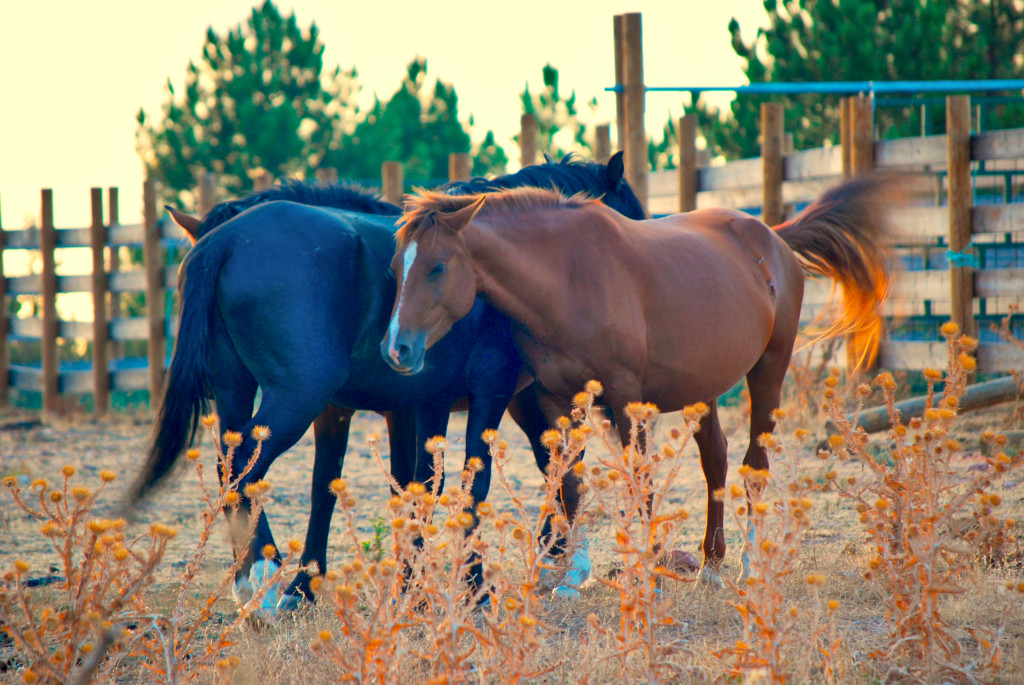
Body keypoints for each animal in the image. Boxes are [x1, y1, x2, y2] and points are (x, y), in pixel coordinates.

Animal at [128, 152, 638, 610]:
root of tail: (225, 242)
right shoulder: (474, 394)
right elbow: (450, 485)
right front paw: (453, 589)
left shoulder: (391, 406)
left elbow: (369, 486)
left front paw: (369, 587)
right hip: (295, 398)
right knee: (242, 471)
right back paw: (262, 581)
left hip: (238, 390)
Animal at [385, 179, 897, 585]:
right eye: (394, 269)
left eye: (436, 266)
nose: (397, 349)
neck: (567, 277)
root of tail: (773, 238)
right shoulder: (556, 401)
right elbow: (569, 483)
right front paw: (572, 579)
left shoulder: (625, 397)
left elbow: (640, 481)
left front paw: (645, 569)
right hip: (704, 385)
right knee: (716, 460)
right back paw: (711, 566)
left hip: (769, 370)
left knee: (755, 463)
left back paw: (751, 565)